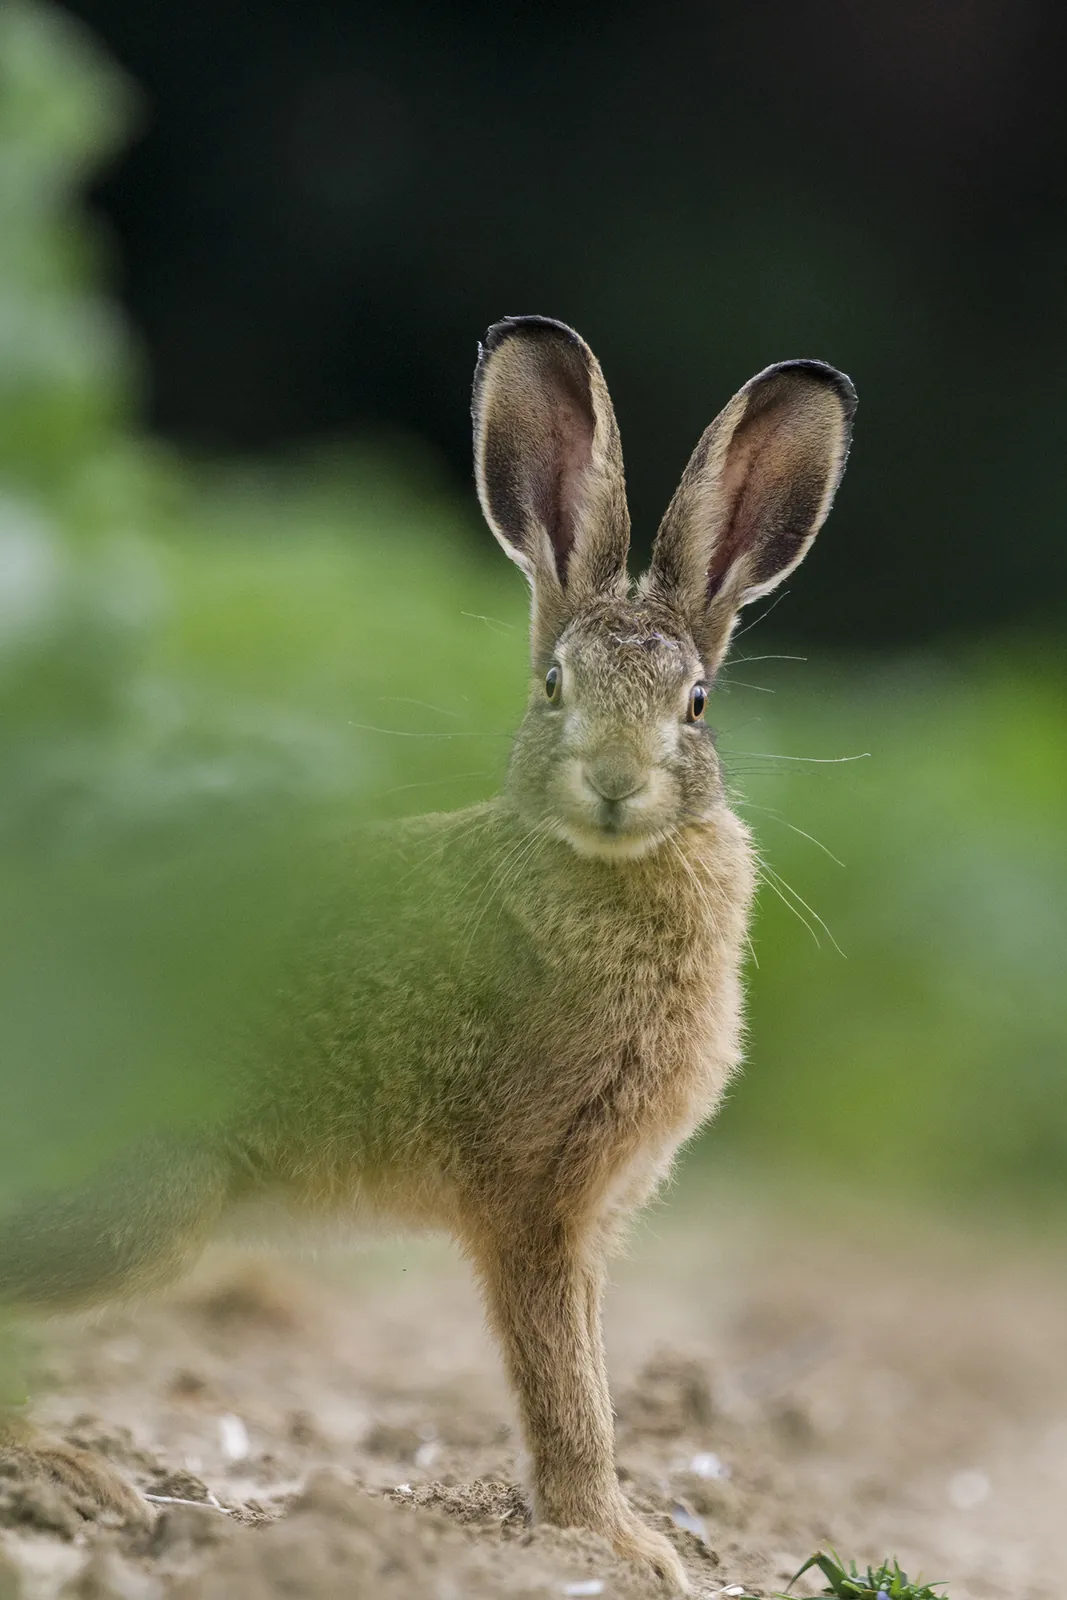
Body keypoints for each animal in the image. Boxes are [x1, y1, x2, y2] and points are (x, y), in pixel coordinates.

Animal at [0, 316, 855, 1591]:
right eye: (552, 687)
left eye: (696, 703)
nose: (614, 781)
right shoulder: (532, 1199)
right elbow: (566, 1389)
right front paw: (616, 1541)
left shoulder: (586, 1217)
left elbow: (588, 1369)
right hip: (141, 1202)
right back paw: (69, 1474)